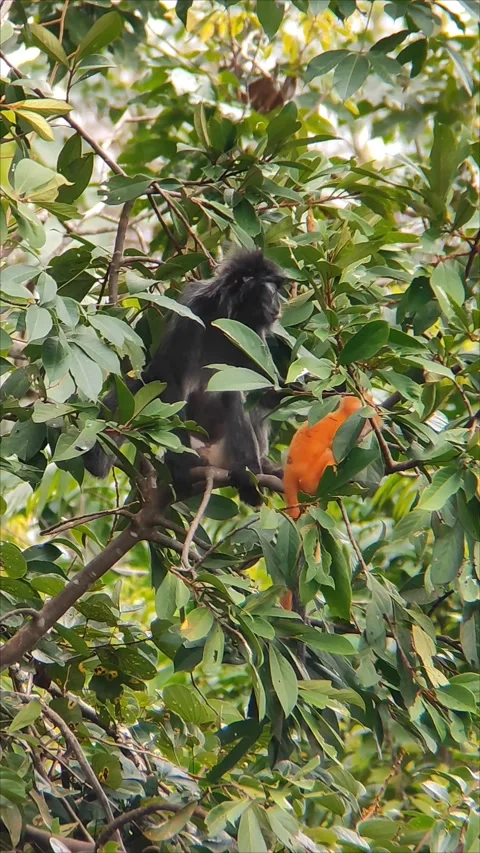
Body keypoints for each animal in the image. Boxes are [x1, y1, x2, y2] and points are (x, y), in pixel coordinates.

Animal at [84, 249, 287, 507]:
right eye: (272, 292)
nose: (279, 305)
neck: (225, 316)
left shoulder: (253, 335)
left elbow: (265, 390)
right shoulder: (192, 309)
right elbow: (168, 376)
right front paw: (181, 465)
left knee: (234, 393)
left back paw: (248, 474)